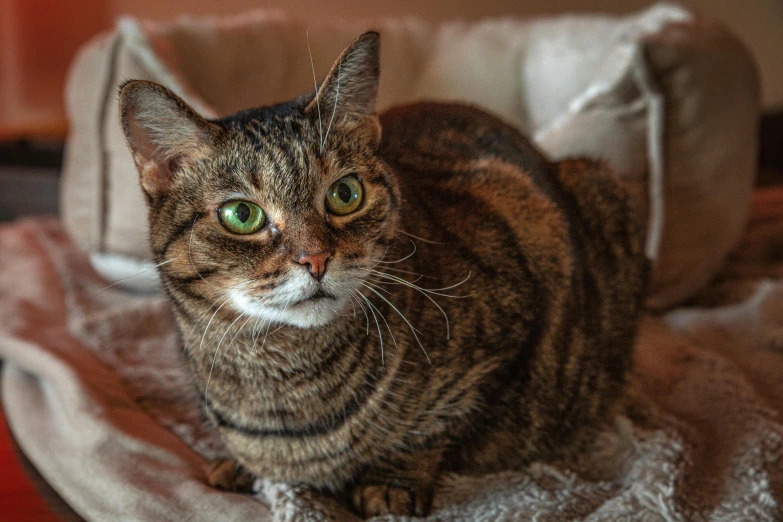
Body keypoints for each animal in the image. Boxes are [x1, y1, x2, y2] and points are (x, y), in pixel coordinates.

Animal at [118, 32, 648, 516]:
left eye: (345, 194)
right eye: (241, 215)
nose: (315, 259)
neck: (283, 382)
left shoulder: (524, 260)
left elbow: (437, 430)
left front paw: (391, 481)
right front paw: (239, 464)